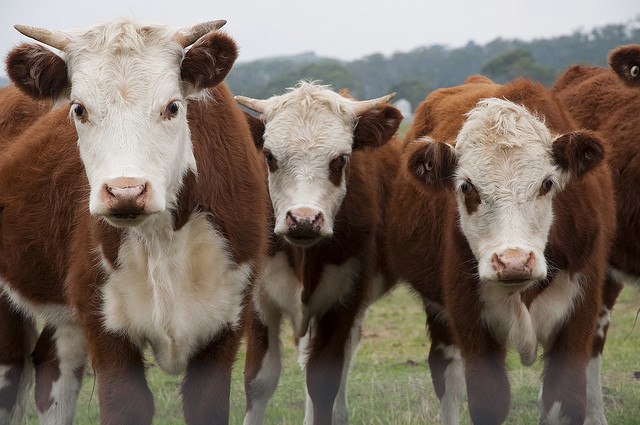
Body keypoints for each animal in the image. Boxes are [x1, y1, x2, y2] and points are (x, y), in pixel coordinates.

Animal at [0, 19, 269, 425]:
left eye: (173, 106)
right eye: (78, 109)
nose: (125, 191)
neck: (163, 237)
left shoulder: (227, 322)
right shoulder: (103, 323)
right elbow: (127, 405)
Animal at [235, 82, 403, 425]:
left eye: (340, 159)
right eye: (269, 156)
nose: (303, 219)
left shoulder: (343, 302)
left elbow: (323, 382)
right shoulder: (259, 302)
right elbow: (259, 381)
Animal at [386, 76, 615, 425]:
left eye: (547, 183)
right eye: (467, 186)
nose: (513, 262)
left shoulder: (579, 319)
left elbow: (563, 399)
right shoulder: (472, 329)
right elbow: (487, 401)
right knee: (447, 378)